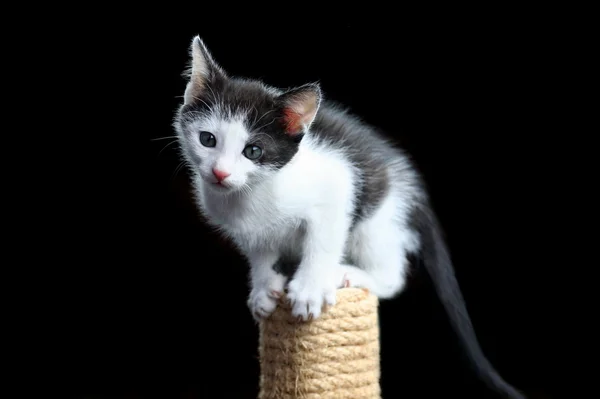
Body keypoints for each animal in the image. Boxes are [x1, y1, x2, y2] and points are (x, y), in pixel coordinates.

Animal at [172, 36, 524, 398]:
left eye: (253, 151)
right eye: (207, 139)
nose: (220, 173)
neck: (251, 194)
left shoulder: (338, 184)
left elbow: (323, 241)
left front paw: (309, 288)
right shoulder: (249, 230)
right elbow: (260, 252)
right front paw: (264, 287)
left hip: (377, 222)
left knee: (391, 275)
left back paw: (351, 275)